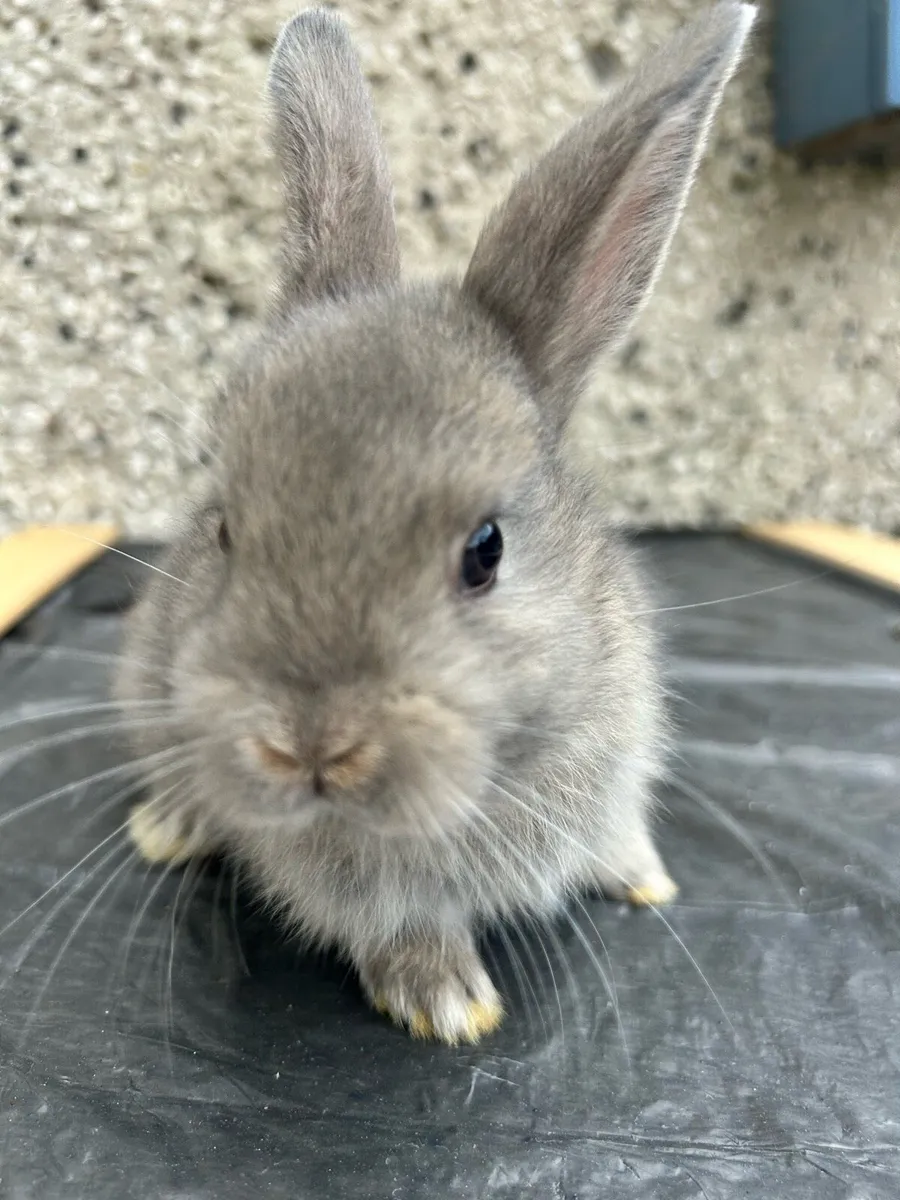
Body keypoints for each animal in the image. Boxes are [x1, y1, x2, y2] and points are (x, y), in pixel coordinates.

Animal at [115, 2, 756, 1044]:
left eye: (484, 551)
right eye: (226, 532)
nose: (309, 746)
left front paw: (643, 878)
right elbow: (398, 921)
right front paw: (450, 1004)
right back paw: (168, 828)